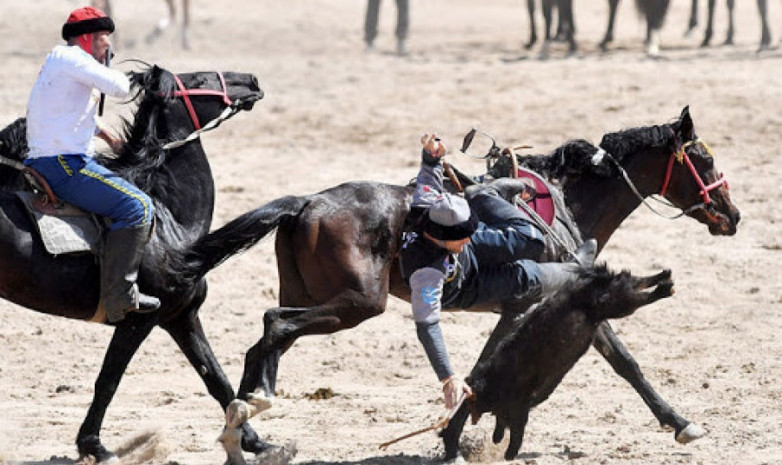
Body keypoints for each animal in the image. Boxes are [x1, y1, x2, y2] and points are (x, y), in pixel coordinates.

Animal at [0, 64, 270, 460]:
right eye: (201, 80)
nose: (252, 80)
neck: (168, 218)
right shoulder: (138, 318)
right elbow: (108, 380)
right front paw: (94, 445)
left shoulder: (181, 316)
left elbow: (216, 378)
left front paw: (255, 440)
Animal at [176, 106, 740, 460]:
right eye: (704, 158)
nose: (732, 215)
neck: (563, 203)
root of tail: (306, 203)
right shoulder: (567, 295)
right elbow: (624, 360)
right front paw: (681, 423)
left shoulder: (522, 306)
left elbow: (486, 364)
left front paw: (453, 432)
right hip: (357, 304)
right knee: (275, 325)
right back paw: (254, 412)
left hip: (316, 296)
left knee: (266, 340)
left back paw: (248, 422)